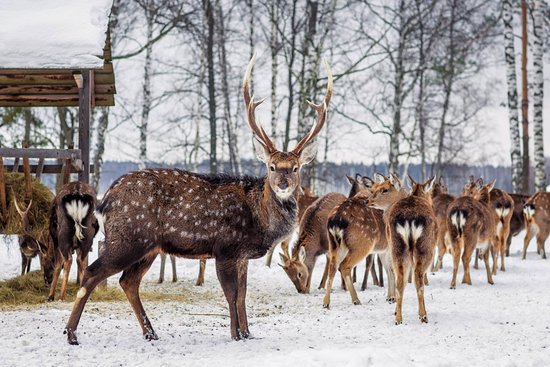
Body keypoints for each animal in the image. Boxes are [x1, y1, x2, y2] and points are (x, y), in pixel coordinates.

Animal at [63, 56, 332, 346]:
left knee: (128, 281)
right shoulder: (225, 248)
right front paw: (236, 334)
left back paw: (150, 332)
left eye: (295, 168)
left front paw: (248, 333)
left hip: (149, 247)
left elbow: (243, 294)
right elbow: (231, 294)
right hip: (128, 238)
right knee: (93, 272)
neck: (259, 219)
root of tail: (105, 201)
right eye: (271, 167)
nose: (283, 183)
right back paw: (71, 333)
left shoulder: (242, 256)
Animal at [324, 175, 396, 310]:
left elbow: (388, 268)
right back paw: (356, 300)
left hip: (334, 244)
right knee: (344, 266)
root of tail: (336, 220)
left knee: (333, 266)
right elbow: (391, 268)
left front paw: (390, 297)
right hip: (362, 244)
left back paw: (326, 302)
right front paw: (392, 297)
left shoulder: (383, 248)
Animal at [366, 175, 440, 324]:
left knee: (400, 279)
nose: (368, 201)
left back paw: (398, 318)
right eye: (374, 188)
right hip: (425, 247)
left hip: (397, 247)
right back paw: (423, 316)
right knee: (418, 278)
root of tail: (409, 218)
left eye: (384, 189)